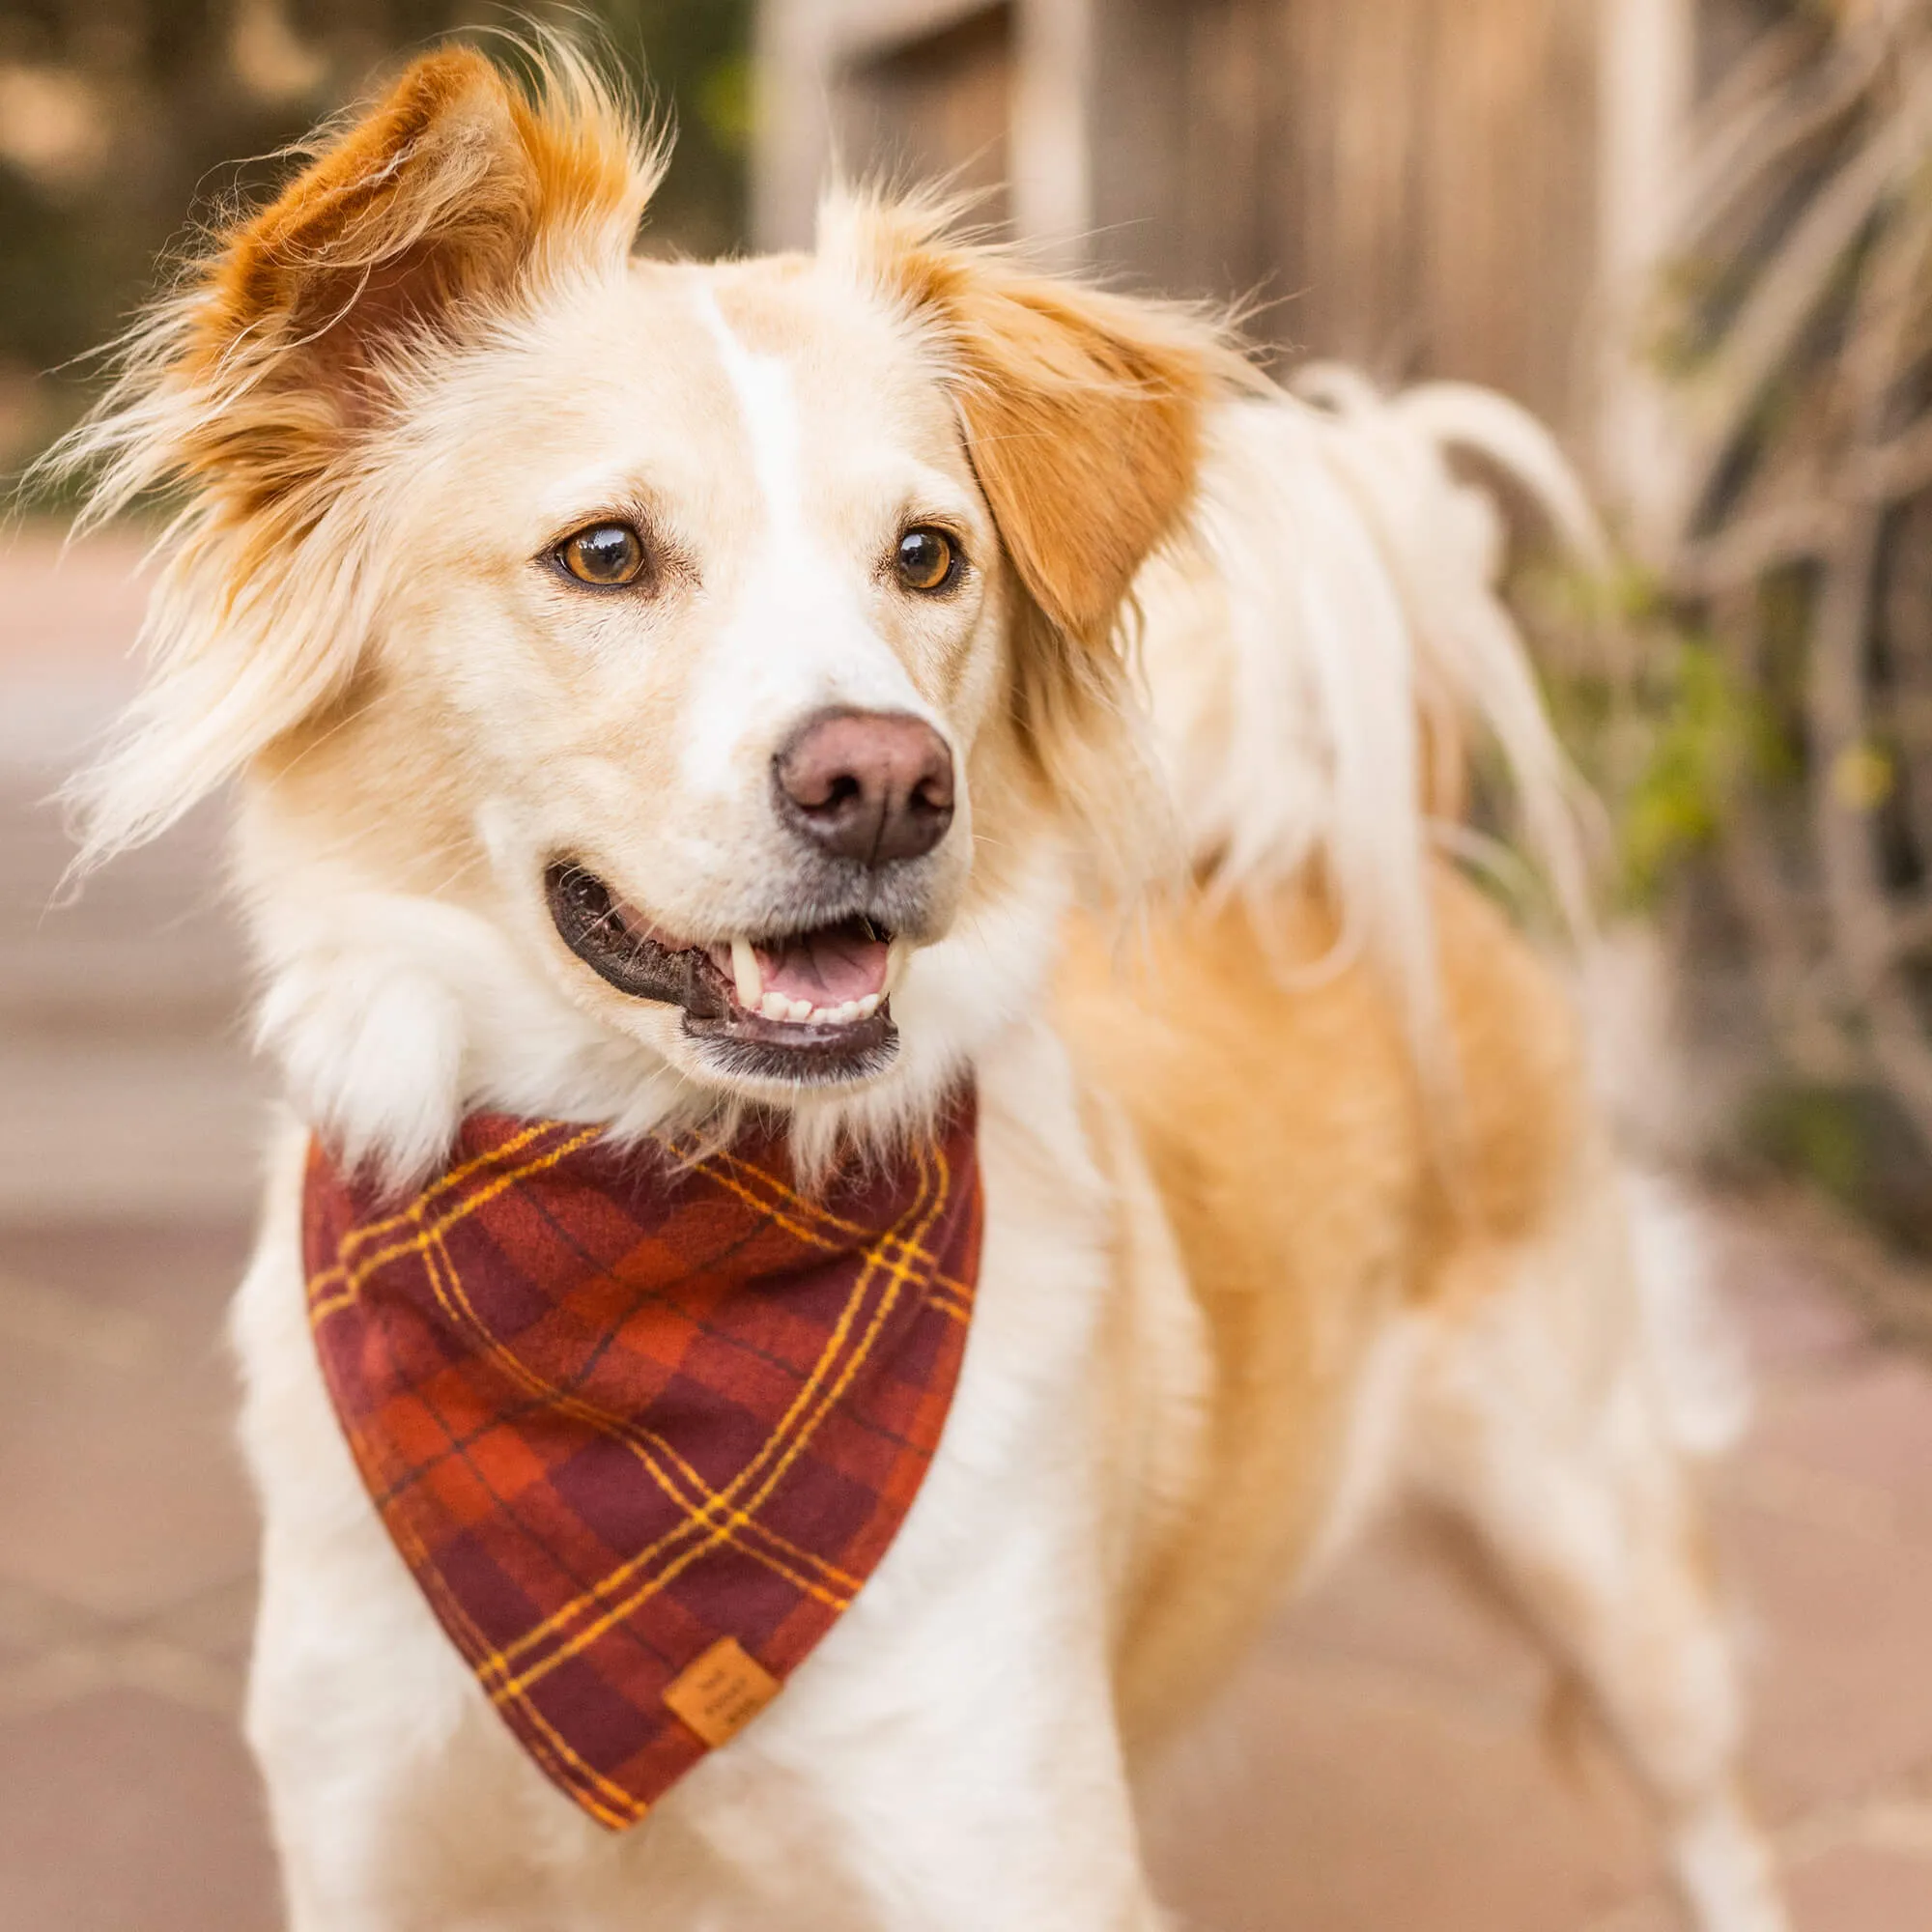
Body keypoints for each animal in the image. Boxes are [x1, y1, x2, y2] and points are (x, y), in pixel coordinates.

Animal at [48, 38, 1793, 1924]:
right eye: (604, 553)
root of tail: (1348, 842)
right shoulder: (371, 1843)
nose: (885, 782)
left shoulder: (1004, 1846)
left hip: (1607, 1548)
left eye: (928, 557)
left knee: (1717, 1820)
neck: (633, 1258)